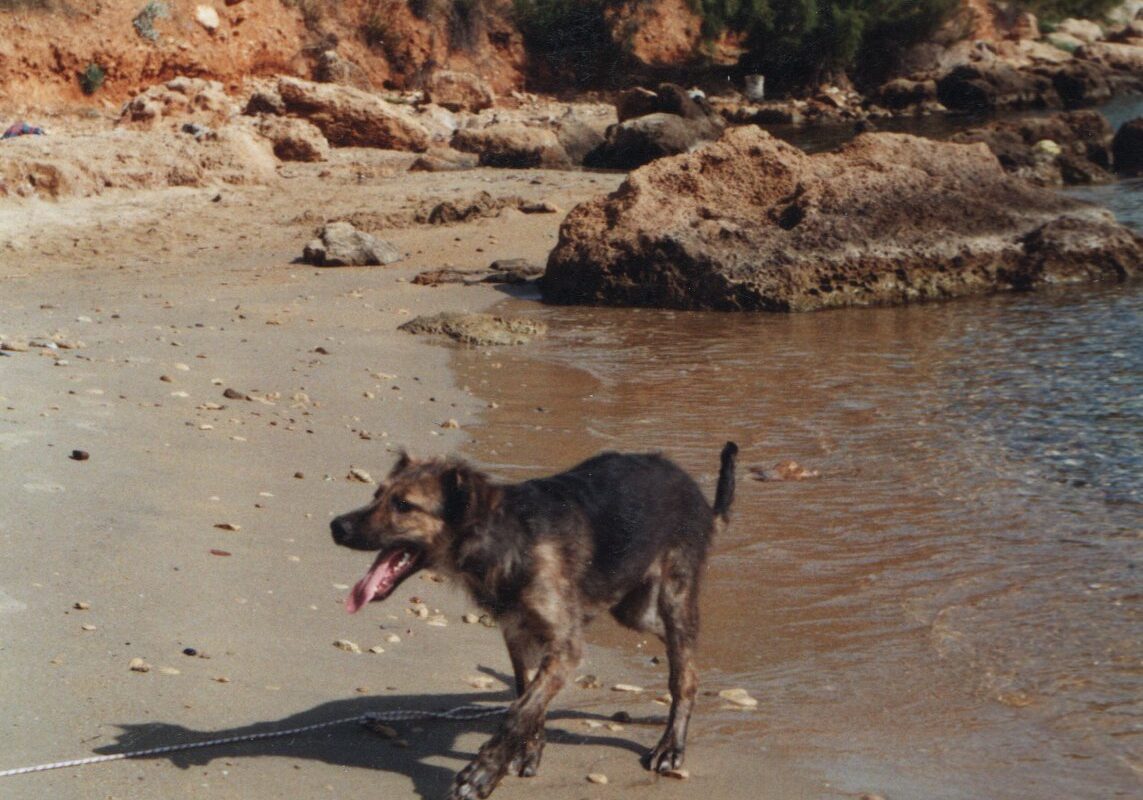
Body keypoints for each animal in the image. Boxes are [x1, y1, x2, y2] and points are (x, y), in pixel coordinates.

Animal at [333, 441, 740, 795]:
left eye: (404, 505)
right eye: (377, 494)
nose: (336, 526)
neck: (504, 539)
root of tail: (695, 491)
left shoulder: (566, 647)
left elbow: (519, 710)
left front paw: (481, 774)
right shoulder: (519, 635)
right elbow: (527, 697)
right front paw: (526, 753)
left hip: (674, 596)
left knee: (685, 674)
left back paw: (671, 746)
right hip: (634, 609)